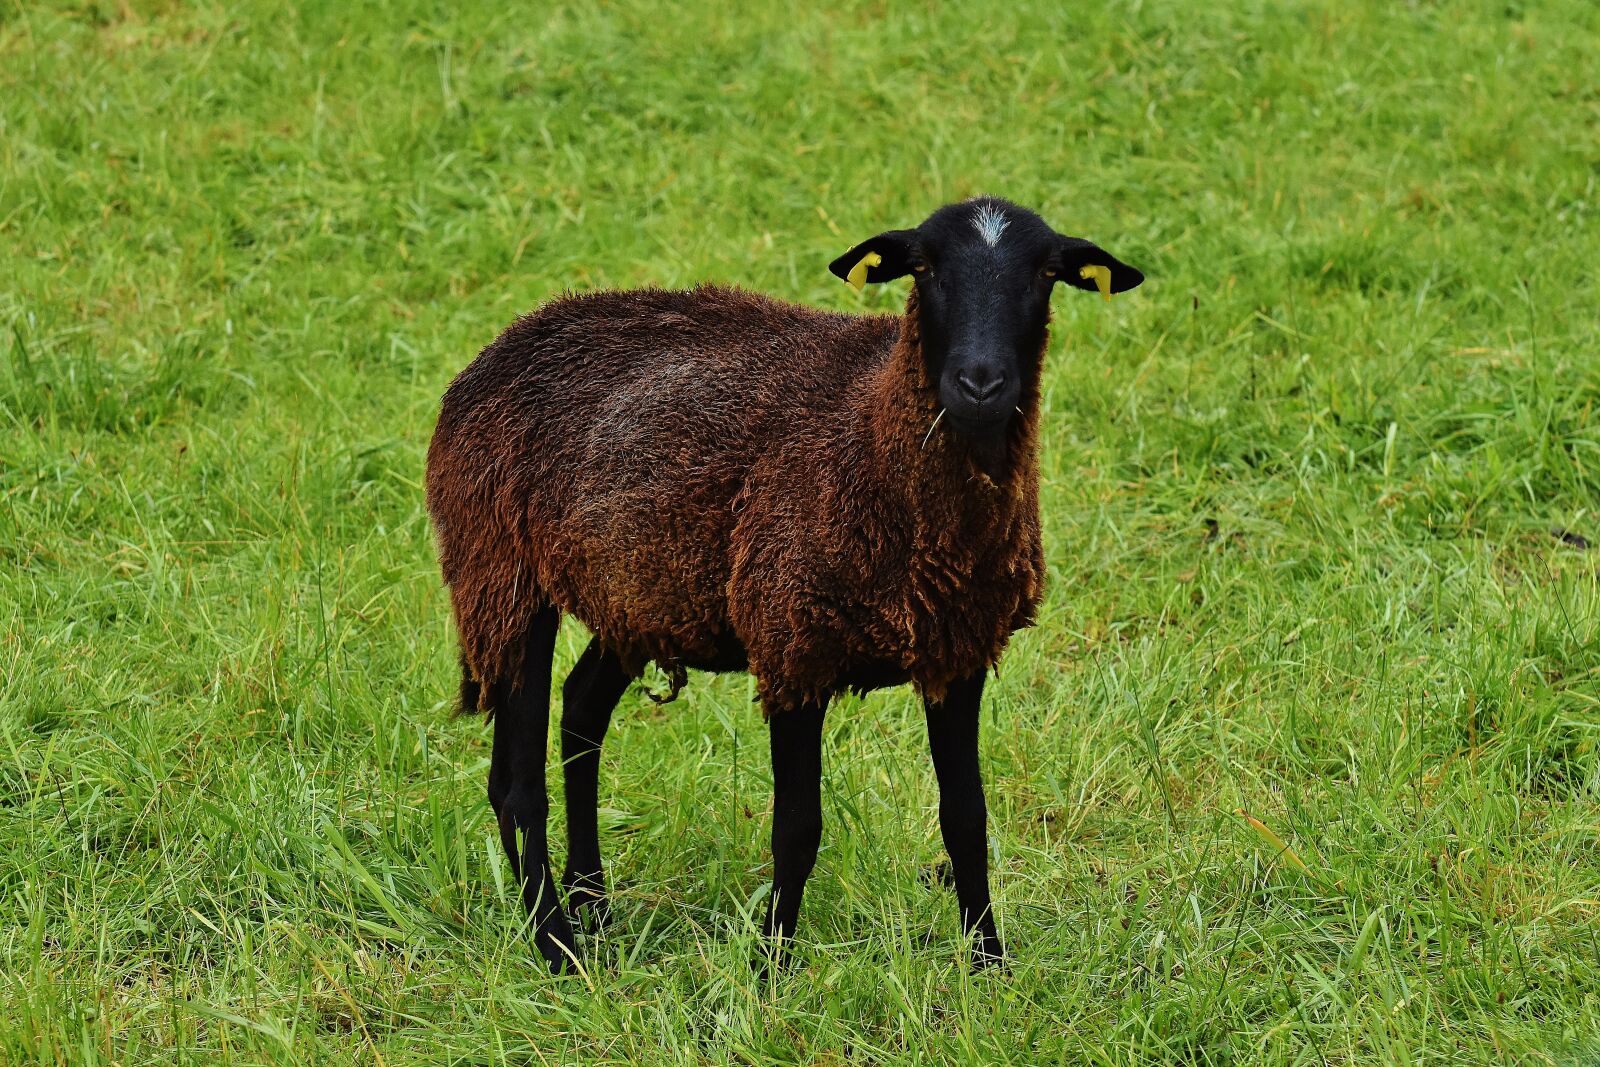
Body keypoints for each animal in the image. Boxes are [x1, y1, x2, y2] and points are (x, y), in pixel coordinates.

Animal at [425, 197, 1144, 972]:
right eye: (923, 268)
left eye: (1046, 273)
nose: (980, 384)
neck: (871, 434)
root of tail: (510, 338)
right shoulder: (794, 640)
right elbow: (798, 826)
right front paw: (771, 963)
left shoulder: (959, 650)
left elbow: (965, 818)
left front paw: (989, 959)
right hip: (499, 572)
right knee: (515, 784)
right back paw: (557, 941)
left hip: (637, 594)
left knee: (582, 712)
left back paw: (594, 906)